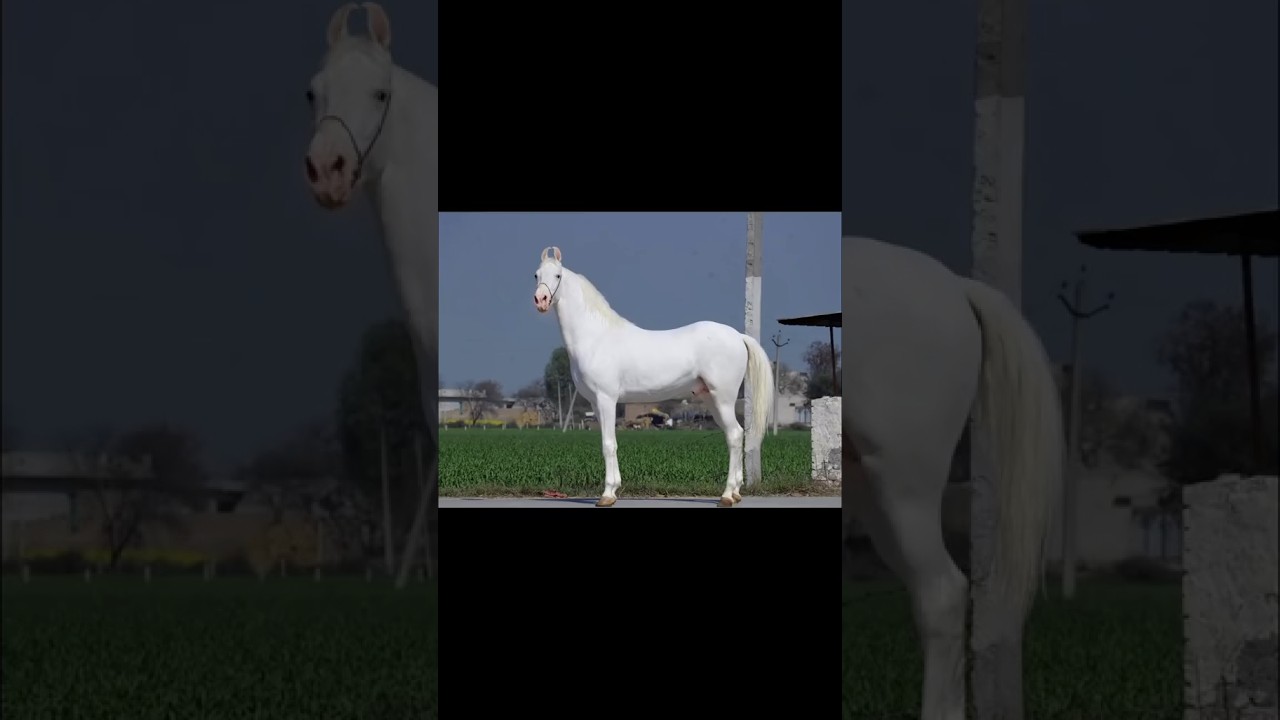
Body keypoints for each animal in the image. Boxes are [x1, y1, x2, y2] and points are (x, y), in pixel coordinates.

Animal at [532, 246, 775, 508]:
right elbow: (609, 443)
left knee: (735, 435)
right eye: (536, 275)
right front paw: (614, 489)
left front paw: (607, 495)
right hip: (712, 399)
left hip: (723, 398)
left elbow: (608, 444)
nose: (540, 300)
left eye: (557, 275)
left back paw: (727, 495)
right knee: (735, 435)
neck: (595, 337)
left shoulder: (606, 399)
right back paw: (737, 492)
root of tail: (739, 336)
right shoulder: (596, 404)